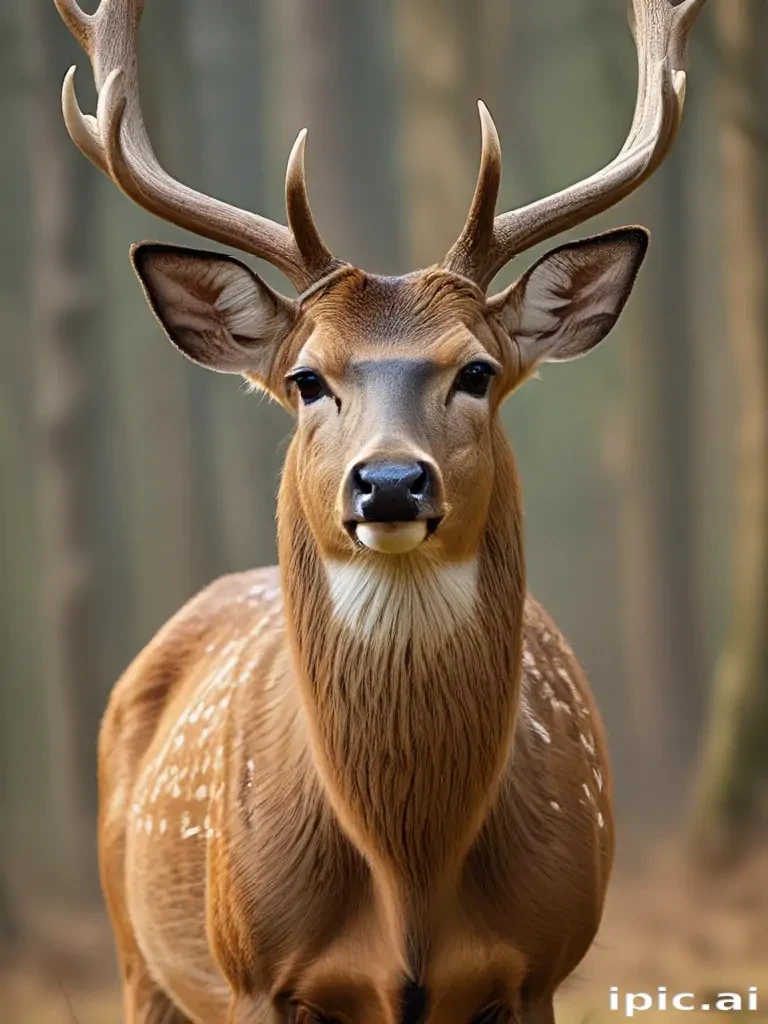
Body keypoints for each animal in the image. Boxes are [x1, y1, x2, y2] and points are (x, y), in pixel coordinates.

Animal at [53, 0, 707, 1021]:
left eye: (476, 370)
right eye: (305, 378)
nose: (392, 482)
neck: (409, 877)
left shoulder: (544, 961)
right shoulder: (256, 973)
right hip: (140, 957)